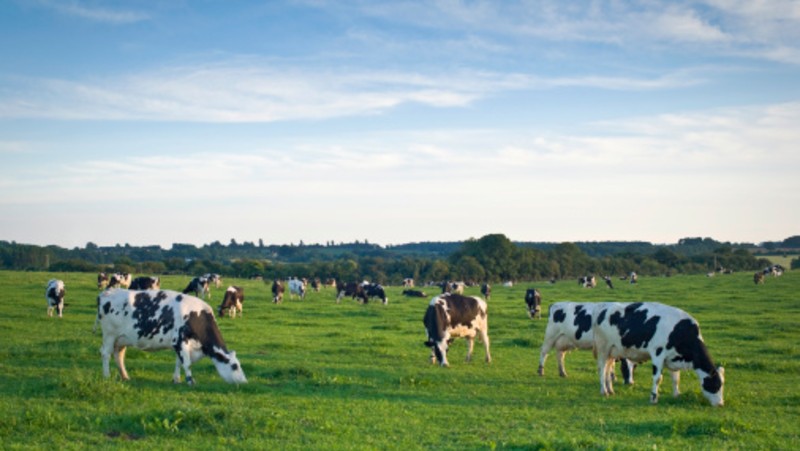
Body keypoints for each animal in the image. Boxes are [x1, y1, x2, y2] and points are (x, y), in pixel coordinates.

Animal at [592, 304, 724, 406]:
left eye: (722, 384)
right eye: (715, 384)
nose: (720, 404)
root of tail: (603, 308)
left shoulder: (673, 358)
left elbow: (676, 379)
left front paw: (677, 395)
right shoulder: (658, 354)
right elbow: (657, 379)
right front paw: (653, 398)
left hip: (612, 352)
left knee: (608, 370)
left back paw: (610, 390)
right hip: (603, 348)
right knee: (602, 370)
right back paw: (604, 391)